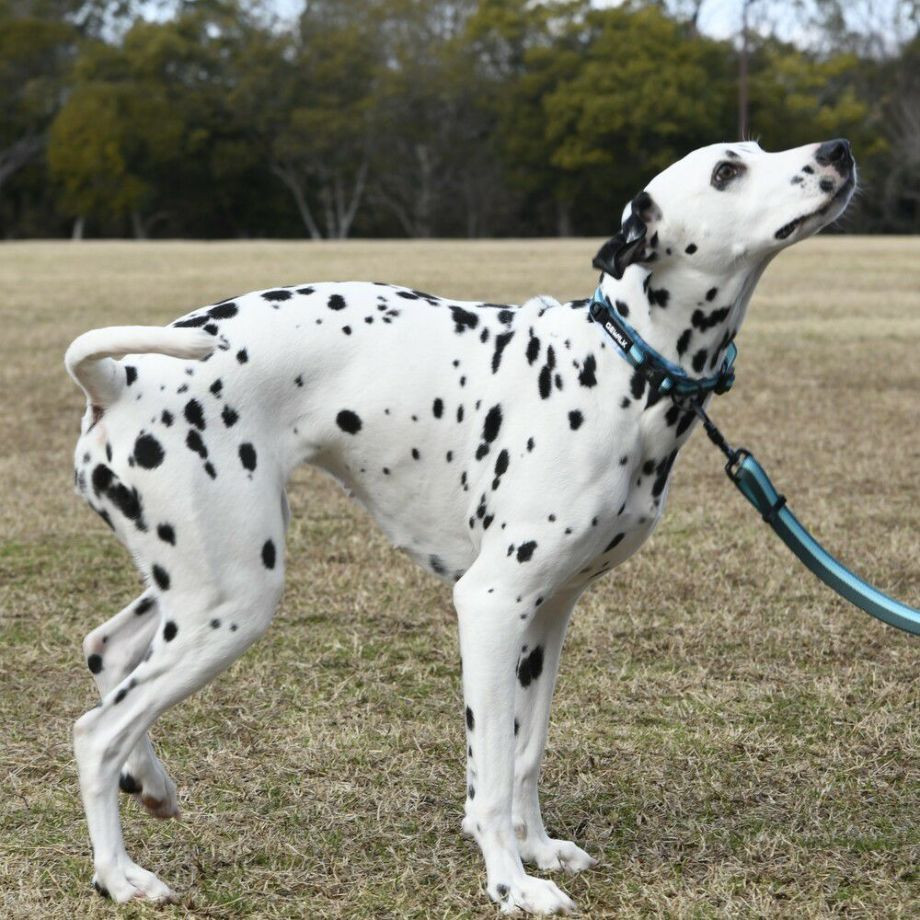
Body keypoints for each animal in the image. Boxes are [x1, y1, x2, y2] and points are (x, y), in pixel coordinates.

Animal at [64, 137, 856, 912]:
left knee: (108, 651)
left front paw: (539, 848)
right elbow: (493, 774)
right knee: (97, 734)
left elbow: (525, 754)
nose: (839, 151)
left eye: (757, 146)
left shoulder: (547, 617)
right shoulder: (491, 605)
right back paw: (120, 874)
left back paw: (151, 782)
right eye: (727, 171)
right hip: (233, 600)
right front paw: (511, 883)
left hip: (196, 588)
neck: (618, 369)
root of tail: (122, 380)